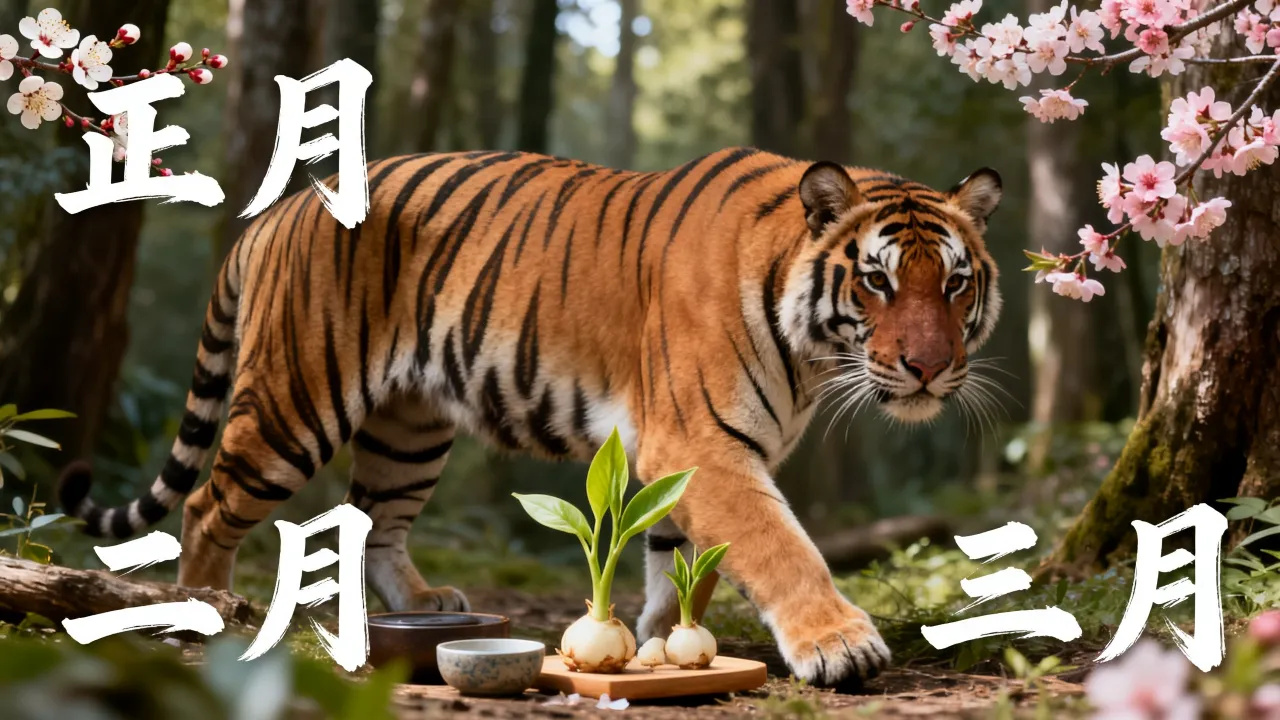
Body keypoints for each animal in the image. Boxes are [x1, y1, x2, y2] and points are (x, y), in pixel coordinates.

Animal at [59, 147, 1002, 686]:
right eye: (877, 281)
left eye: (956, 282)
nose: (930, 366)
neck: (812, 350)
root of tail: (278, 211)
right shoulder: (701, 442)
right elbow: (779, 547)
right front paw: (839, 645)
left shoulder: (679, 455)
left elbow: (676, 562)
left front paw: (660, 642)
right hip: (293, 403)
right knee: (206, 505)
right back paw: (204, 612)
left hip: (410, 426)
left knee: (375, 520)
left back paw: (425, 605)